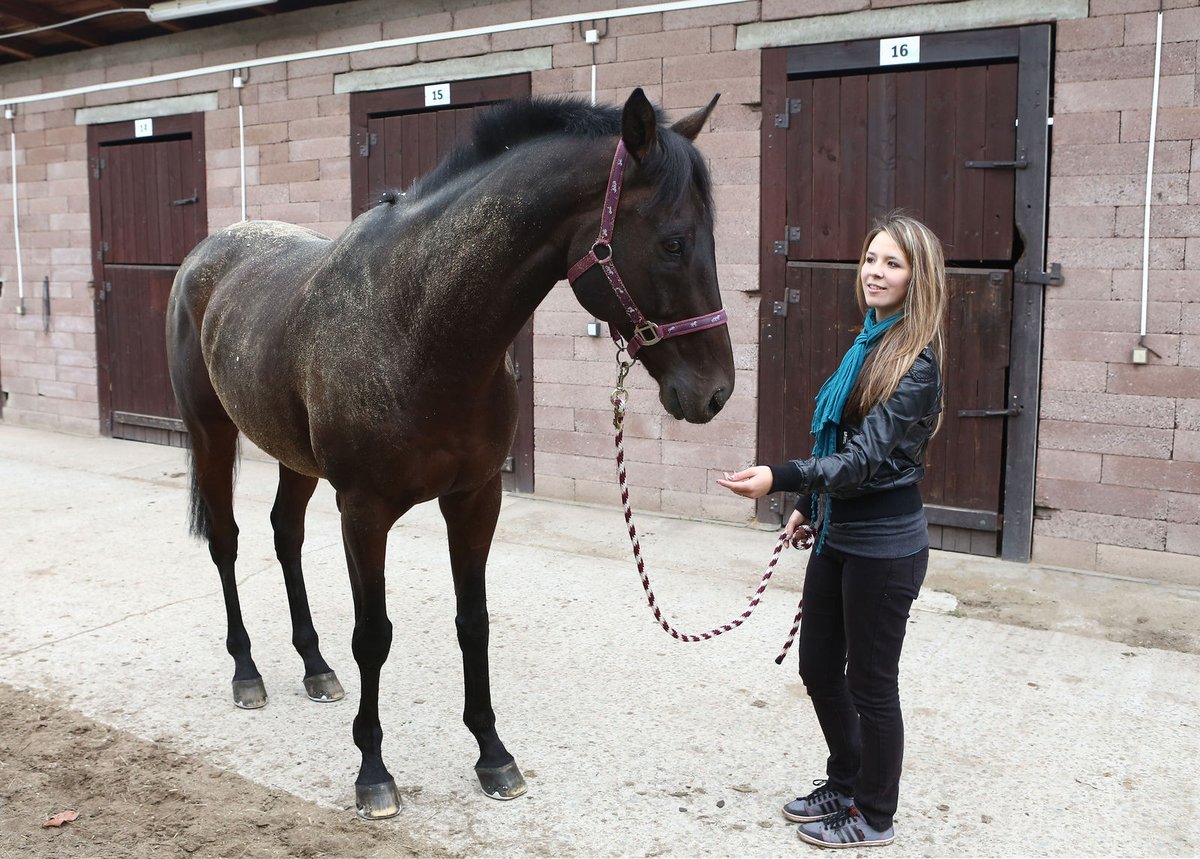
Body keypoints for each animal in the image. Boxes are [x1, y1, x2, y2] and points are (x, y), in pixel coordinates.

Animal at [165, 88, 734, 820]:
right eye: (672, 242)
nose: (715, 391)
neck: (421, 329)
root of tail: (207, 252)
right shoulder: (364, 511)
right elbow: (374, 635)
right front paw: (373, 771)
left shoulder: (475, 498)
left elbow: (473, 622)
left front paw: (493, 754)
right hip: (212, 433)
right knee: (227, 542)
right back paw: (247, 672)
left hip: (295, 458)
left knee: (285, 535)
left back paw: (315, 668)